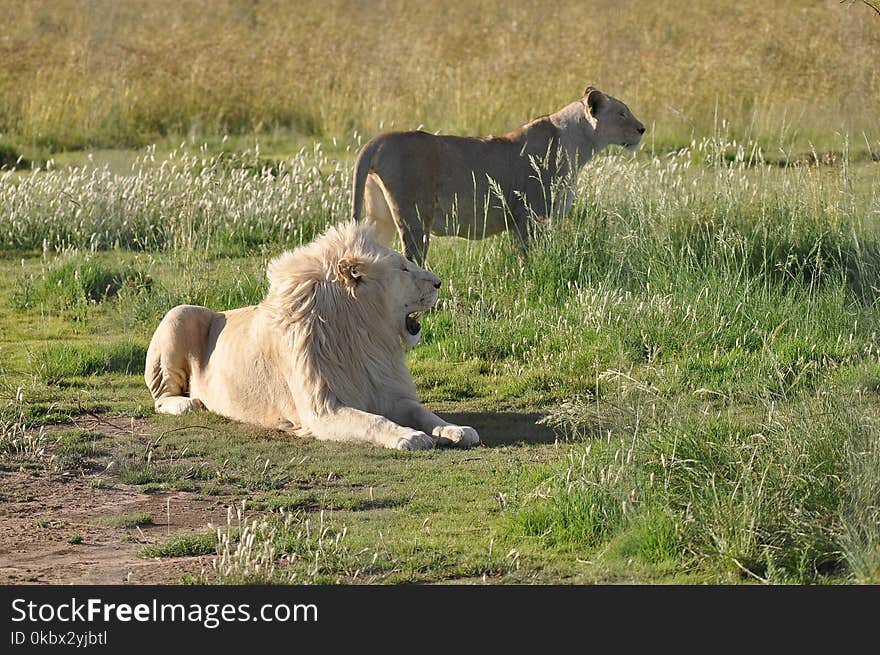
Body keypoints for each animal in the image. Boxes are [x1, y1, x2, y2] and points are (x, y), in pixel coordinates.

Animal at [143, 222, 482, 452]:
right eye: (403, 268)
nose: (439, 282)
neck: (365, 336)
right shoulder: (323, 410)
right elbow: (374, 421)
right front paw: (408, 436)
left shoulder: (390, 393)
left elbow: (425, 413)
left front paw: (457, 430)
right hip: (180, 313)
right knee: (161, 398)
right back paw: (188, 404)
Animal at [350, 86, 648, 266]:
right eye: (622, 113)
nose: (642, 129)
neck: (578, 145)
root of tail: (377, 140)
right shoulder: (529, 214)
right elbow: (527, 255)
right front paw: (529, 279)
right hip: (413, 217)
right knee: (412, 258)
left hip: (382, 216)